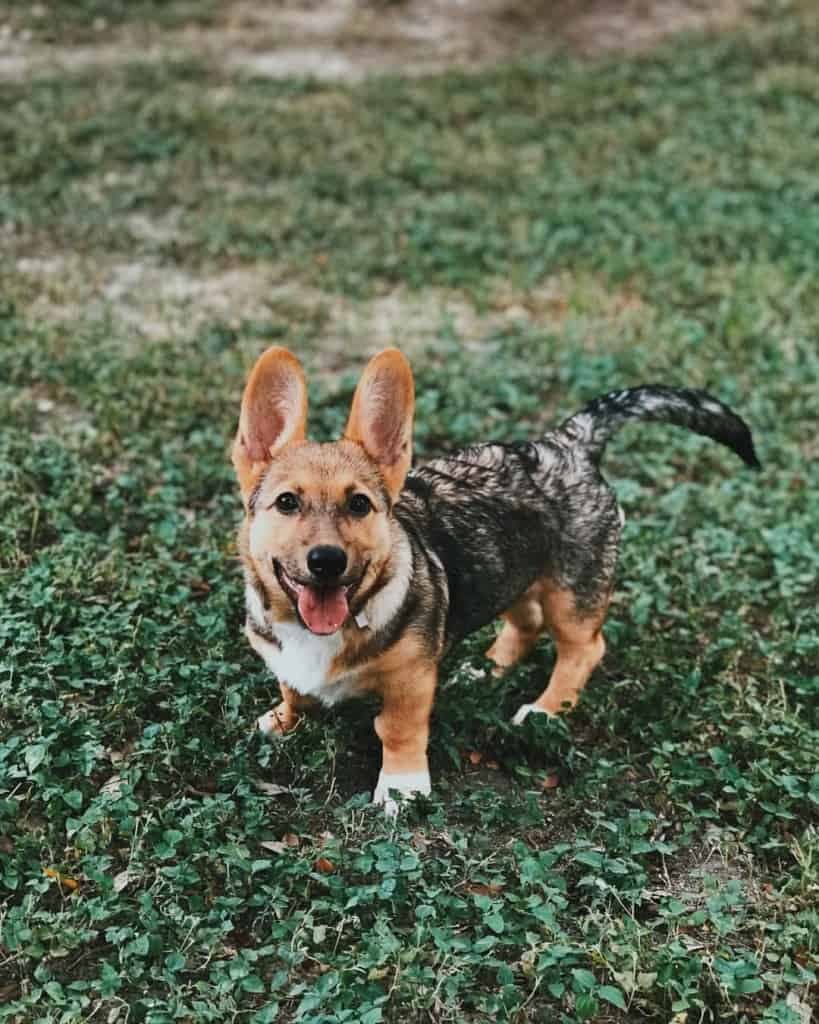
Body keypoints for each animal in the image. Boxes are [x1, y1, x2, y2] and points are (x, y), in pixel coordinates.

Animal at [228, 348, 753, 811]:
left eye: (359, 504)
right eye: (286, 503)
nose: (326, 561)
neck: (328, 627)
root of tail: (567, 444)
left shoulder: (410, 682)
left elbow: (396, 730)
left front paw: (401, 788)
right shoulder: (284, 659)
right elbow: (294, 690)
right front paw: (282, 720)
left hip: (572, 597)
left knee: (583, 649)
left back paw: (544, 709)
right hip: (511, 573)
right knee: (526, 623)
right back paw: (486, 668)